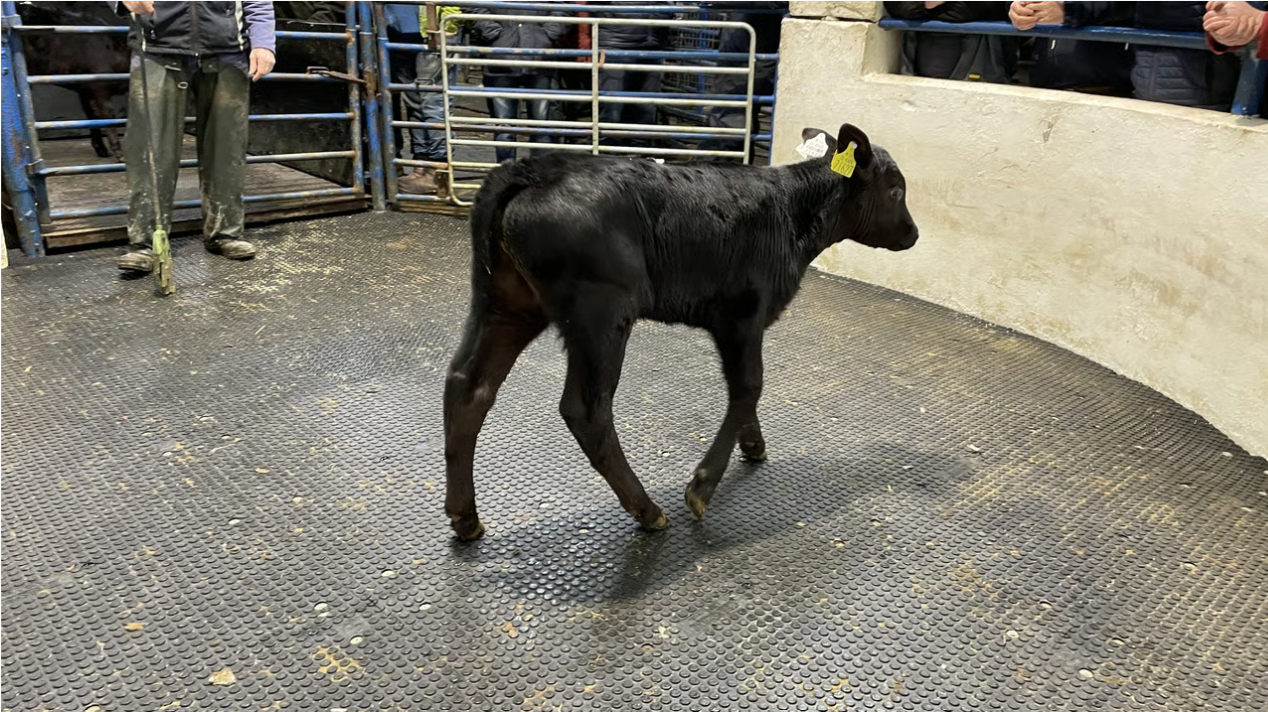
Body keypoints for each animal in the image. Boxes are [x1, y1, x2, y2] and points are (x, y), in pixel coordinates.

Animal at [442, 122, 919, 541]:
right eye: (896, 190)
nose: (913, 233)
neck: (792, 213)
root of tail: (537, 168)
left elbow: (743, 389)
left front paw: (753, 444)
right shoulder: (742, 312)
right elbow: (749, 386)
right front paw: (703, 486)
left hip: (506, 303)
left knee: (469, 385)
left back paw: (465, 518)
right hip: (599, 312)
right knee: (586, 409)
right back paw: (647, 510)